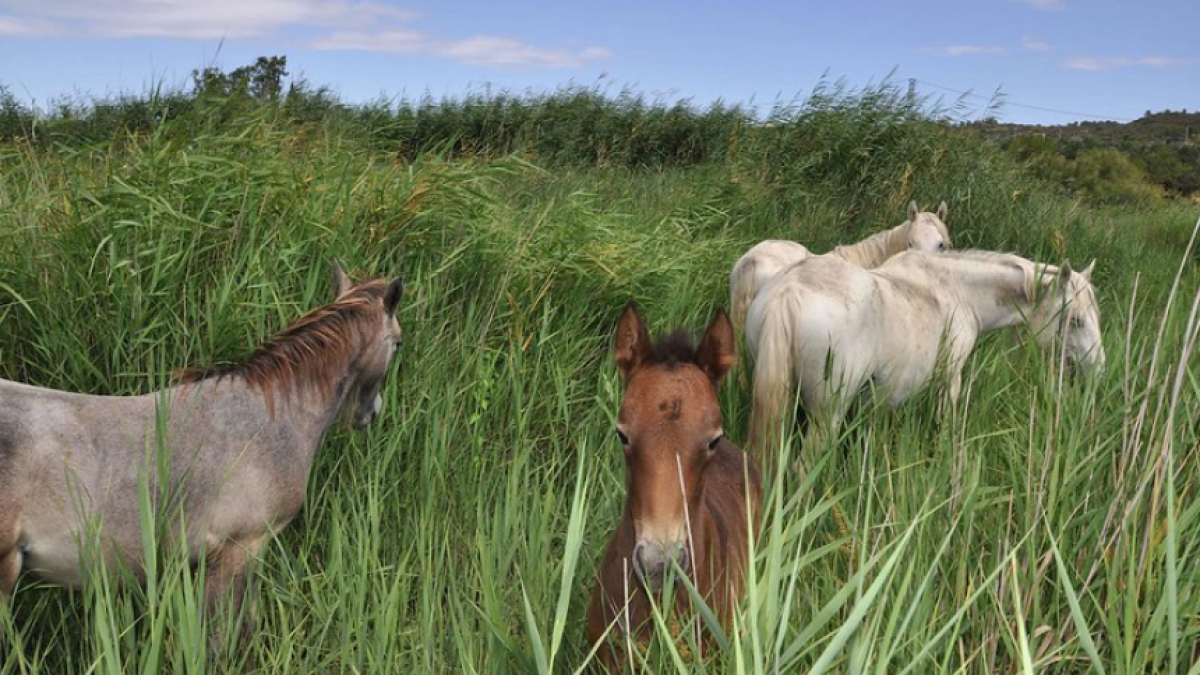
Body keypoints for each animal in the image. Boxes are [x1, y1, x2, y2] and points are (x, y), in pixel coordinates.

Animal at [748, 249, 1104, 458]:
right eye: (1076, 320)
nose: (1098, 370)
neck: (958, 290)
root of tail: (789, 291)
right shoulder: (950, 382)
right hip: (826, 418)